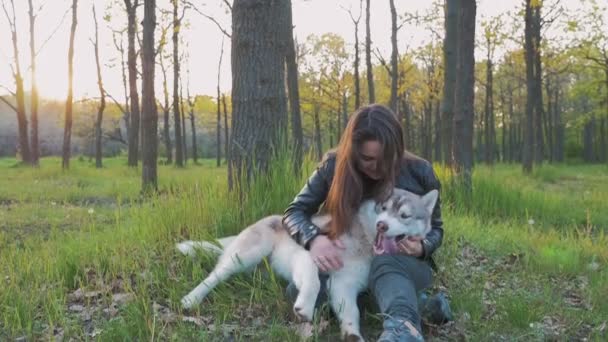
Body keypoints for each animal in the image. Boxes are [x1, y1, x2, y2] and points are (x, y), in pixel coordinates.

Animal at [176, 188, 436, 340]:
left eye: (404, 215)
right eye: (382, 208)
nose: (382, 225)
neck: (362, 240)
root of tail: (266, 219)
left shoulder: (344, 284)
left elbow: (350, 311)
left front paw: (351, 333)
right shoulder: (308, 256)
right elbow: (313, 283)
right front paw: (304, 308)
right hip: (244, 255)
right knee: (215, 275)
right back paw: (191, 298)